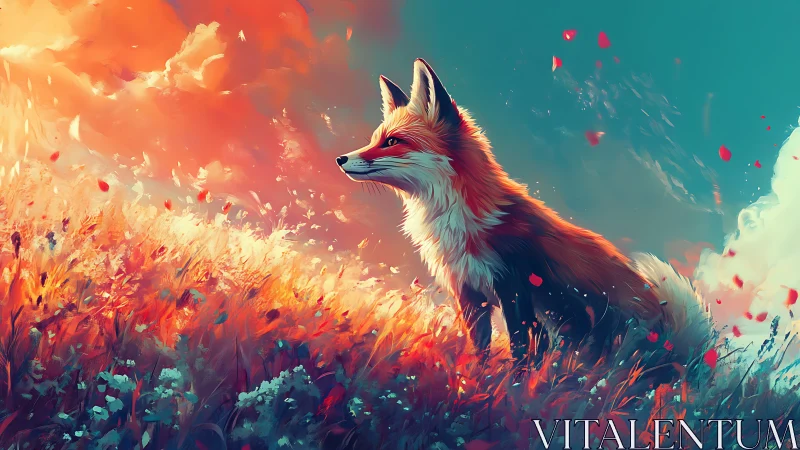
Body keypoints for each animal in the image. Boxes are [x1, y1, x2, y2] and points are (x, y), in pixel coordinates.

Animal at [336, 58, 713, 369]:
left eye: (392, 141)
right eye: (377, 138)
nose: (341, 159)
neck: (458, 220)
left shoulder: (514, 287)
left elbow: (520, 349)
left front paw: (512, 391)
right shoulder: (470, 294)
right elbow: (482, 351)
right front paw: (475, 386)